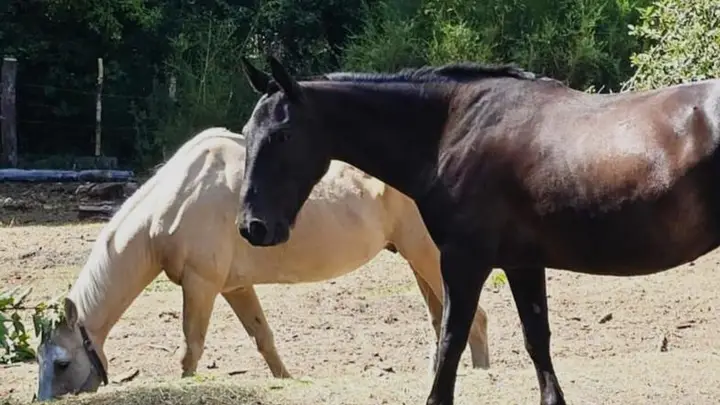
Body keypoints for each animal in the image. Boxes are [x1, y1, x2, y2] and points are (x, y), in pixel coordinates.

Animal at [35, 127, 491, 401]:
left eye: (61, 362)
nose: (42, 400)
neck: (177, 198)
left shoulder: (201, 285)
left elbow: (190, 350)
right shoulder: (235, 287)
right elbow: (264, 339)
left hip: (428, 256)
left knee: (476, 318)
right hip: (419, 260)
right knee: (442, 322)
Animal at [236, 55, 720, 405]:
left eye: (282, 135)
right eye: (246, 131)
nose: (252, 226)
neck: (450, 130)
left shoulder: (463, 262)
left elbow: (450, 344)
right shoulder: (523, 264)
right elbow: (536, 341)